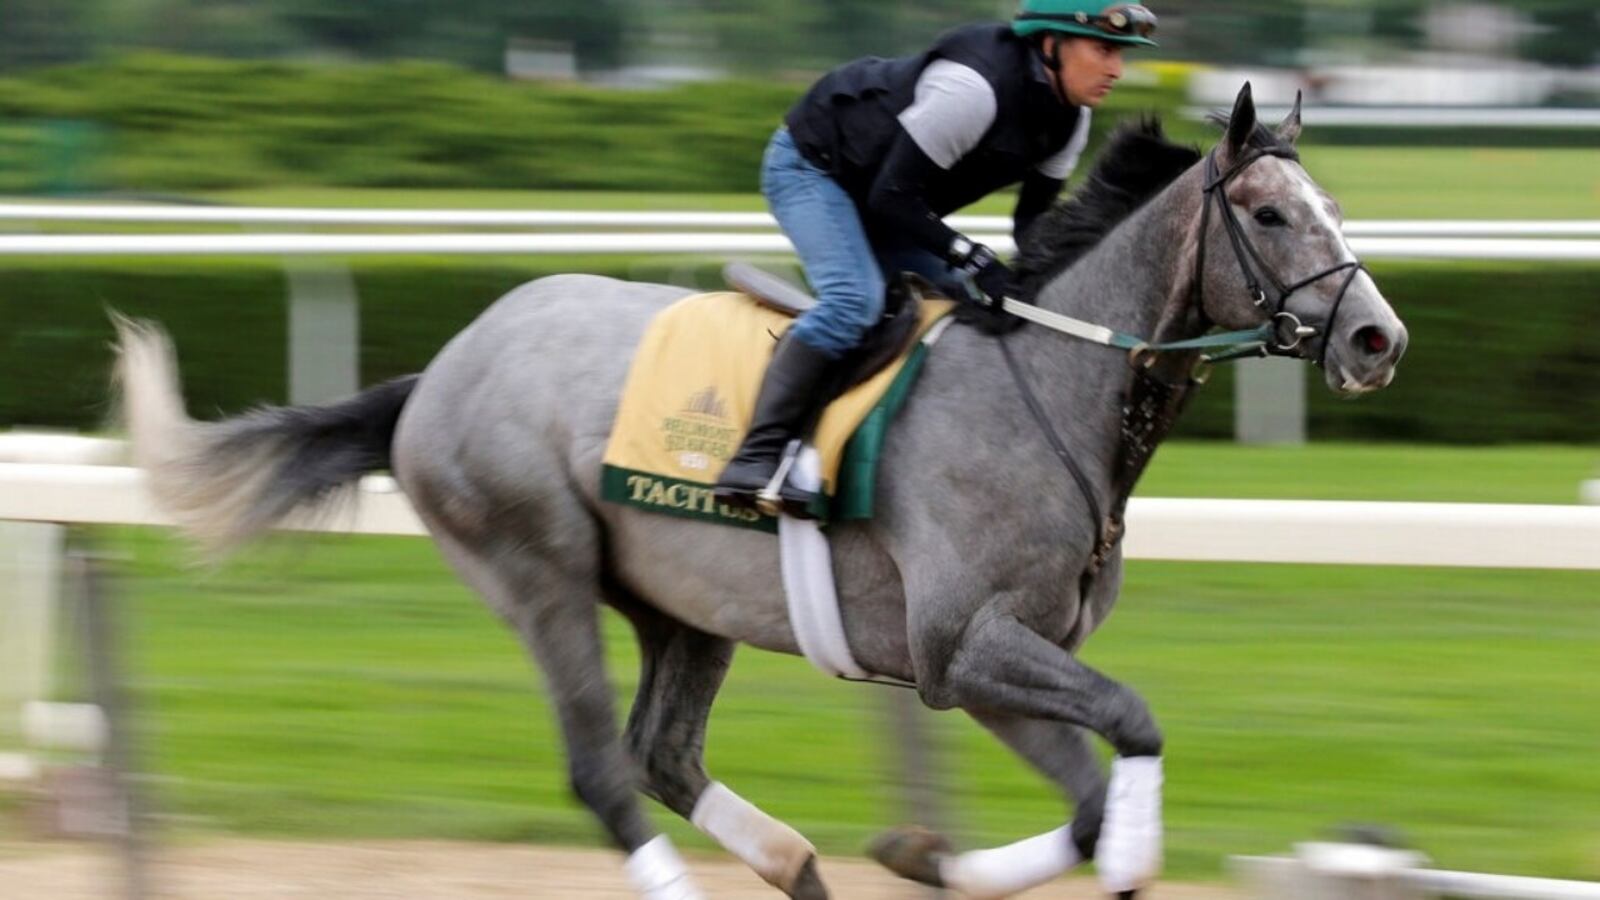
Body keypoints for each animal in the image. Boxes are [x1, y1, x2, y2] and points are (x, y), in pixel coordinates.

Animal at [118, 85, 1408, 896]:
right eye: (1268, 212)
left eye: (1340, 209)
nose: (1377, 339)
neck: (1047, 383)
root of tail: (438, 370)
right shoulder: (961, 645)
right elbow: (1134, 725)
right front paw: (950, 856)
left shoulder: (988, 662)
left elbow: (1093, 804)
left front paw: (923, 856)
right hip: (537, 572)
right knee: (603, 772)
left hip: (684, 611)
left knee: (662, 758)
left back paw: (795, 864)